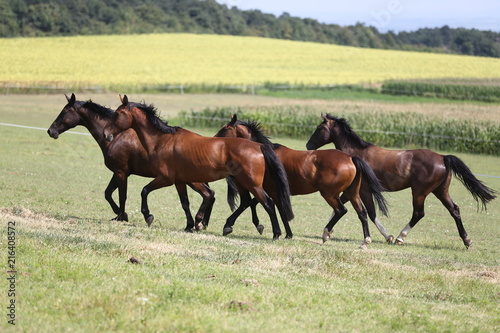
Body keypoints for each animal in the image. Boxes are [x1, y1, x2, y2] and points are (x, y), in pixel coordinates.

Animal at [47, 92, 217, 230]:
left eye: (65, 112)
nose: (50, 131)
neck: (117, 137)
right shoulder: (119, 173)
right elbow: (108, 193)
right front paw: (119, 215)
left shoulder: (121, 172)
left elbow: (122, 195)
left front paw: (123, 216)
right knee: (210, 195)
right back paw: (200, 224)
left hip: (191, 180)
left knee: (208, 194)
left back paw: (199, 223)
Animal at [103, 94, 294, 239]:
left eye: (118, 114)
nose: (106, 134)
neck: (162, 140)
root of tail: (259, 147)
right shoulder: (180, 181)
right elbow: (185, 203)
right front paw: (190, 225)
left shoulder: (165, 178)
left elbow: (144, 191)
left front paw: (148, 215)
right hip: (241, 182)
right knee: (248, 202)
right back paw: (229, 226)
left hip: (252, 185)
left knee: (268, 203)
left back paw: (276, 234)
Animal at [215, 115, 390, 246]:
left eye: (224, 129)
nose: (213, 140)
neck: (263, 152)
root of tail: (351, 158)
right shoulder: (275, 191)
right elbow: (279, 210)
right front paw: (287, 234)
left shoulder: (271, 190)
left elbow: (259, 205)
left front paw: (235, 226)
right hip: (352, 193)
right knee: (362, 213)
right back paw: (365, 241)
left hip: (329, 194)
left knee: (341, 210)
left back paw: (326, 234)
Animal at [304, 114, 496, 246]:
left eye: (320, 128)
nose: (308, 145)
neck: (356, 154)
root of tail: (443, 157)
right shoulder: (352, 190)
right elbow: (340, 209)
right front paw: (328, 232)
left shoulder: (364, 190)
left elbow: (371, 213)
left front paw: (387, 236)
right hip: (440, 191)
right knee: (454, 210)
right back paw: (467, 240)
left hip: (419, 192)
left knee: (419, 213)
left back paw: (399, 237)